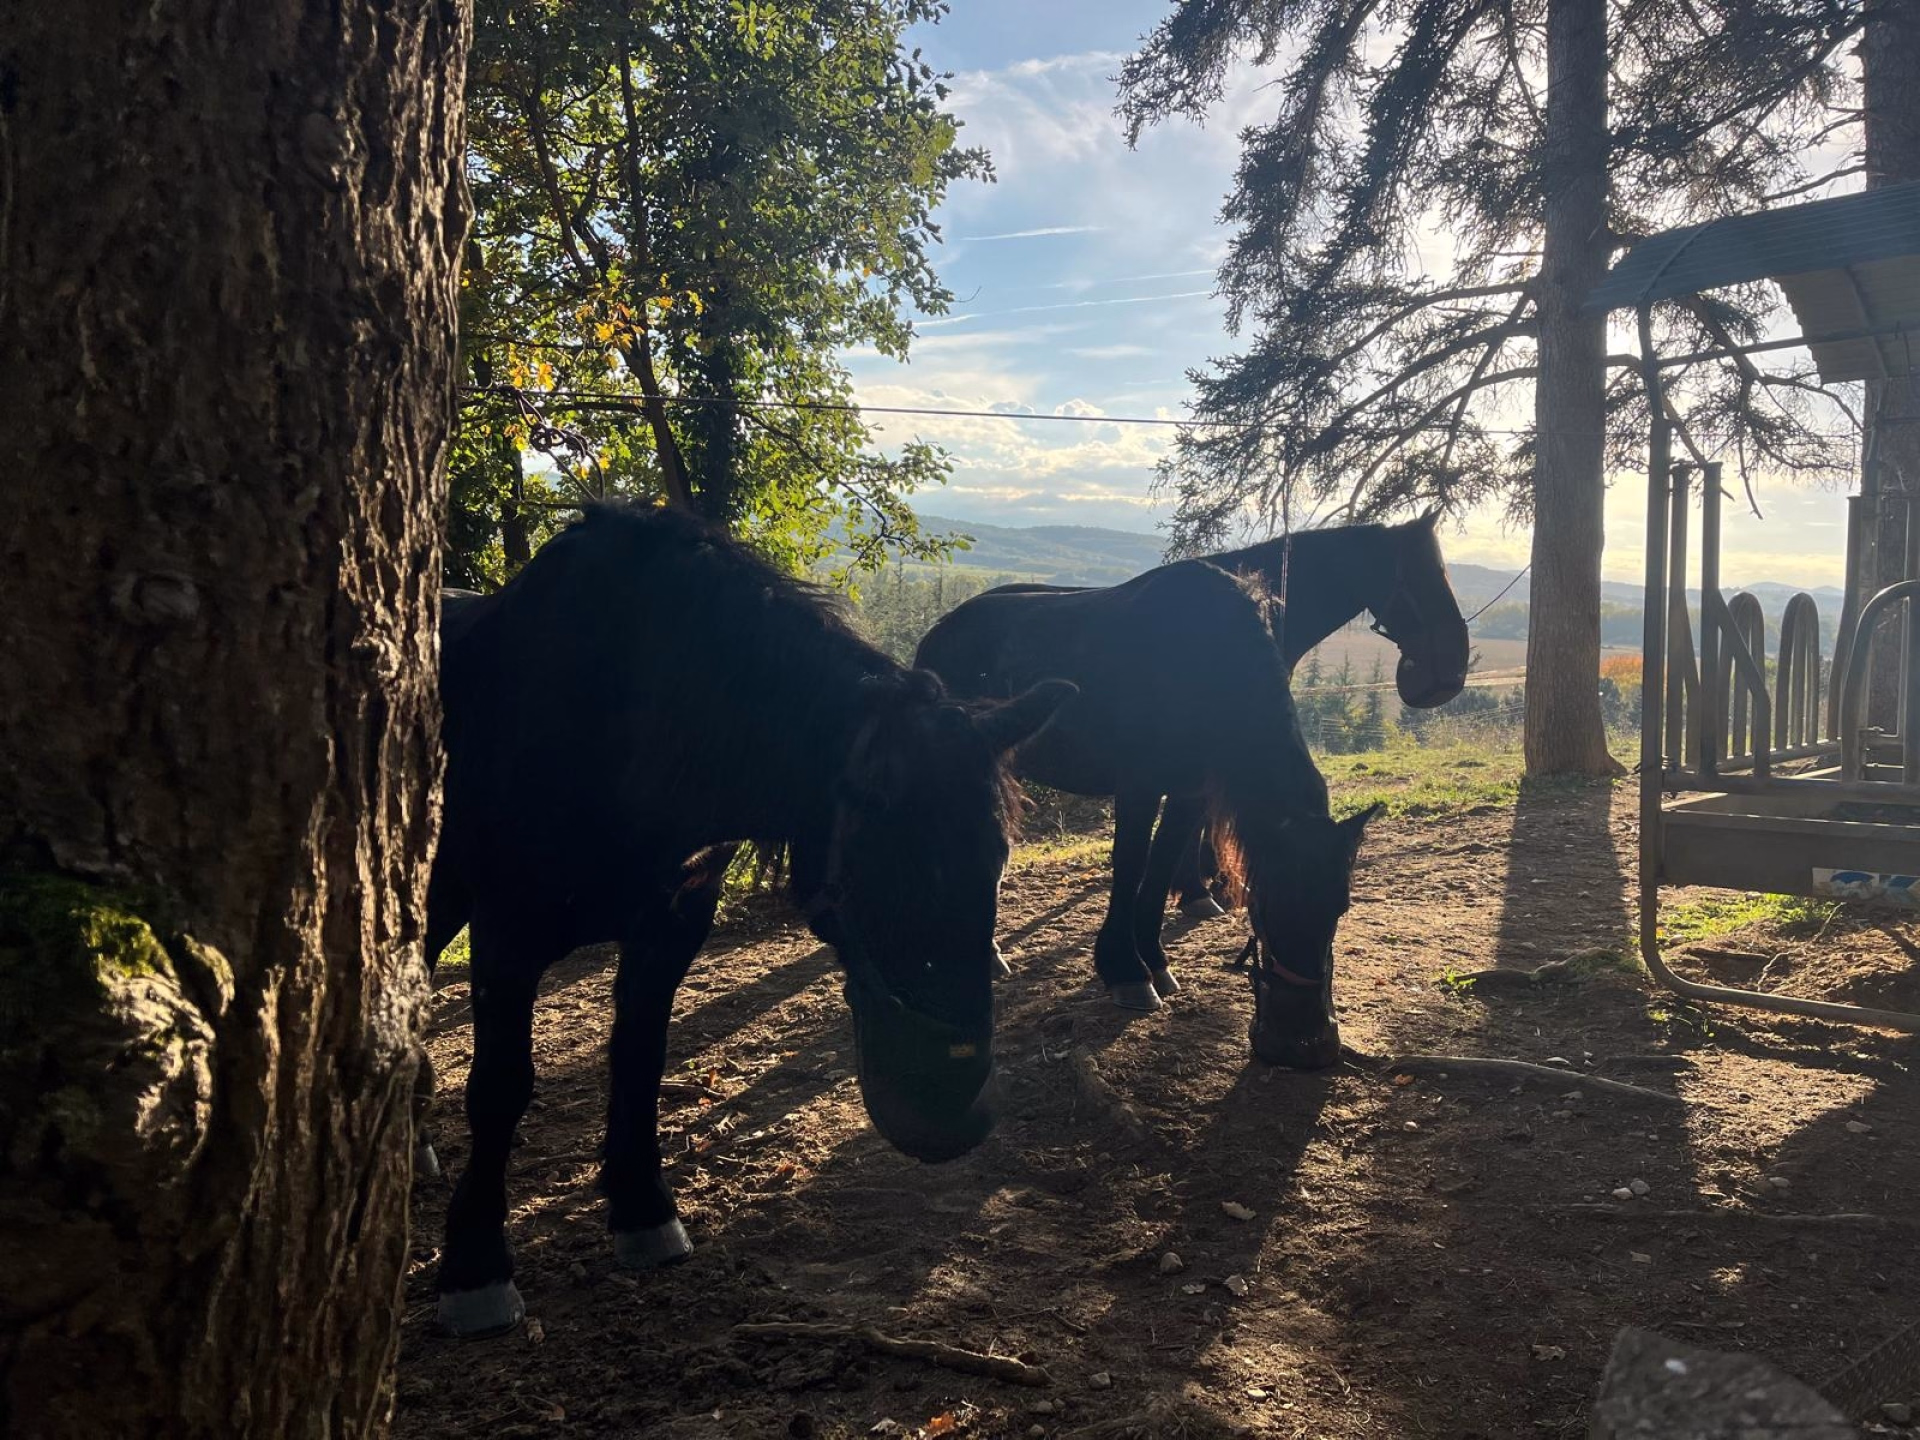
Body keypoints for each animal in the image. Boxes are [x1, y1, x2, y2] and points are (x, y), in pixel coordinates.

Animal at [422, 504, 1071, 1337]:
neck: (623, 721)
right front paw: (475, 1267)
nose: (953, 1117)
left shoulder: (671, 927)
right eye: (883, 870)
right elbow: (499, 1088)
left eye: (997, 860)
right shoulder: (505, 936)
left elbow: (641, 1059)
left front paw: (643, 1210)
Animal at [915, 515, 1465, 1011]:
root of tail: (937, 632)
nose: (1454, 666)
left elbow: (1160, 868)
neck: (1203, 658)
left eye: (1341, 905)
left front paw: (1155, 958)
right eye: (1415, 577)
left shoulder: (1191, 790)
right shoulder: (1138, 788)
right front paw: (1126, 970)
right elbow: (1131, 867)